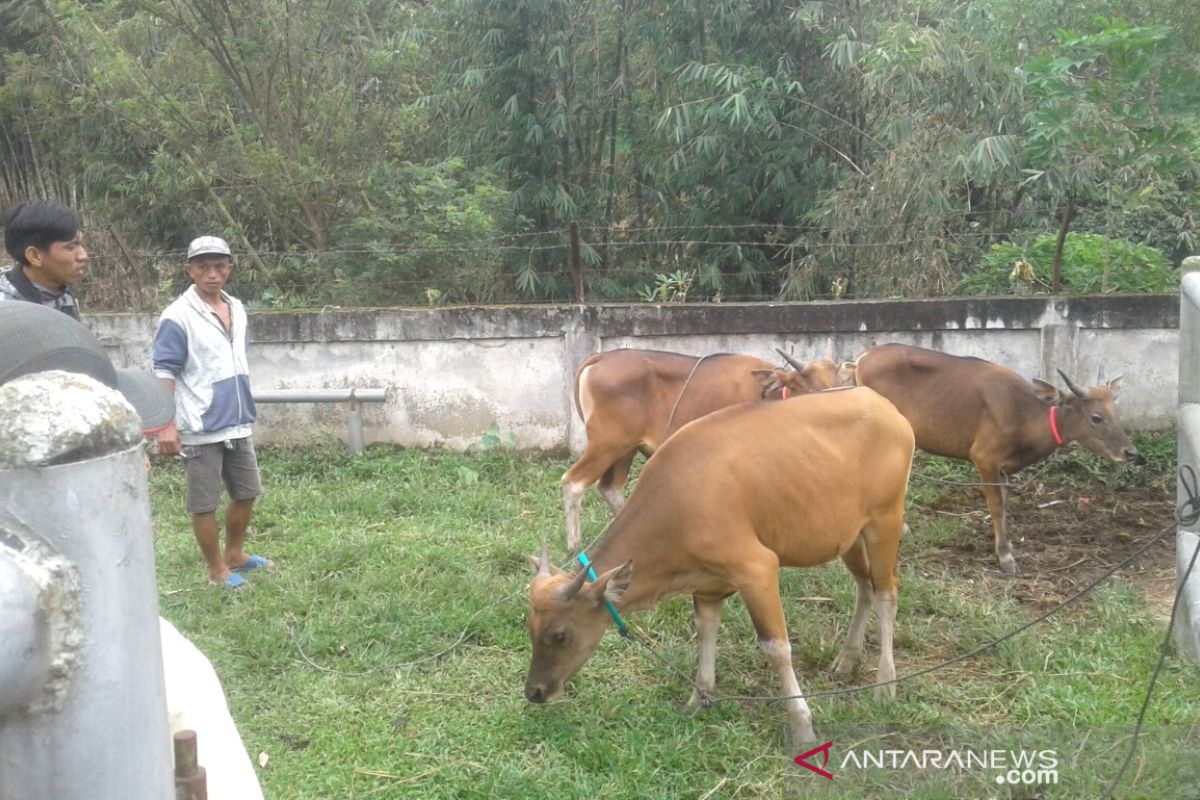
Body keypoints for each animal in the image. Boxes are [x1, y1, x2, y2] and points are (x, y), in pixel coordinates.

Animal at [530, 388, 912, 753]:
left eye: (559, 635)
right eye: (529, 628)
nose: (533, 692)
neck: (676, 506)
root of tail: (887, 408)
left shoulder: (758, 569)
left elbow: (776, 648)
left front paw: (802, 726)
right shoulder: (707, 585)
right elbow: (706, 630)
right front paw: (699, 697)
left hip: (885, 521)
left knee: (887, 592)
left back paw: (886, 684)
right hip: (847, 534)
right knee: (865, 586)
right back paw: (847, 660)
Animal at [561, 347, 844, 554]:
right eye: (812, 391)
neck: (765, 396)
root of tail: (602, 357)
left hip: (625, 448)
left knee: (611, 489)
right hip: (606, 444)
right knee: (573, 483)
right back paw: (574, 546)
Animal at [849, 345, 1137, 575]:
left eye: (1115, 410)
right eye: (1096, 417)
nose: (1130, 452)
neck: (1022, 415)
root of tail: (862, 357)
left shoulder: (1003, 468)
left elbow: (1005, 504)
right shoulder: (984, 458)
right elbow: (996, 506)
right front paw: (1005, 558)